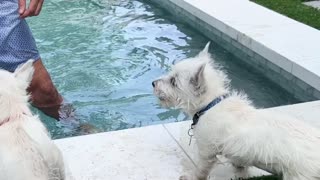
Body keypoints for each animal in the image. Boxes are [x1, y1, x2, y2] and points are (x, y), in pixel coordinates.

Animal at [152, 42, 320, 180]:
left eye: (173, 81)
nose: (153, 83)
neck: (210, 104)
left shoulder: (207, 150)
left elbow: (201, 169)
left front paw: (190, 177)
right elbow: (239, 161)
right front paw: (240, 169)